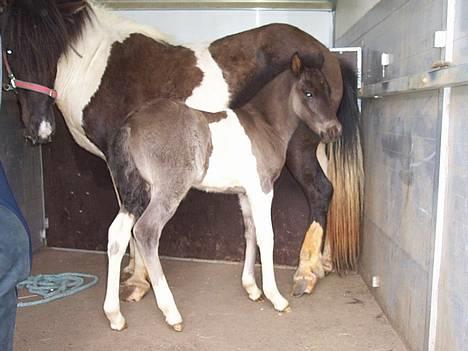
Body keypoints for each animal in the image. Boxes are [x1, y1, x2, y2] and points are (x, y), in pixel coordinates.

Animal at [0, 0, 362, 308]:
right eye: (10, 50)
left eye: (48, 49)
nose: (38, 130)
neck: (100, 68)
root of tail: (328, 54)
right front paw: (135, 274)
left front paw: (138, 281)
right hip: (318, 147)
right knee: (330, 191)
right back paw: (322, 264)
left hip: (300, 150)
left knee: (320, 191)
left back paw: (305, 273)